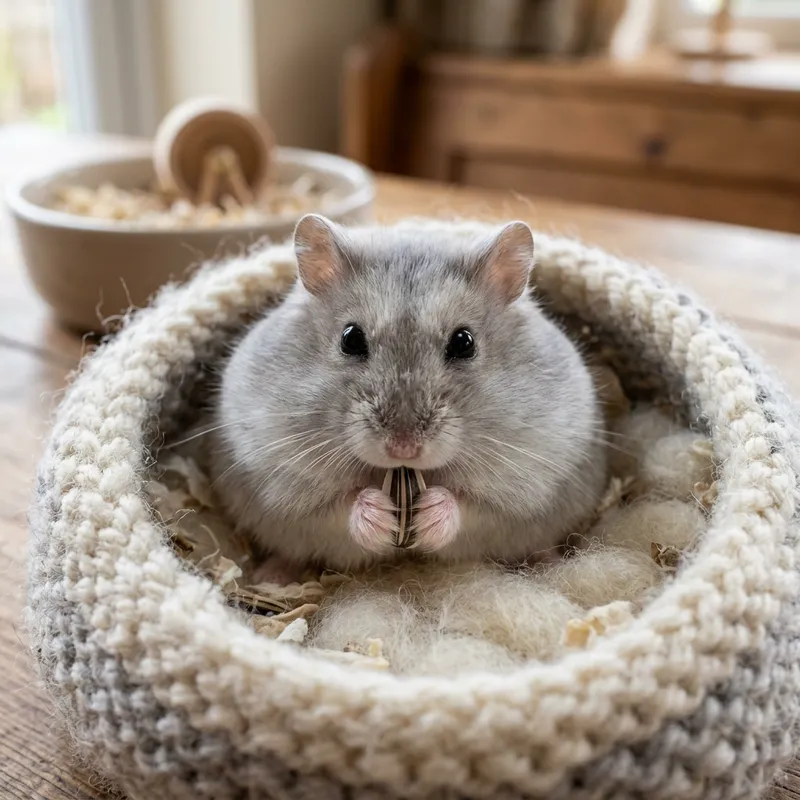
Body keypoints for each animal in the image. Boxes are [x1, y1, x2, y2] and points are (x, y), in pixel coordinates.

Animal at [208, 215, 607, 575]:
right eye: (350, 338)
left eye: (464, 342)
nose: (403, 449)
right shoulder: (283, 486)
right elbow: (339, 507)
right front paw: (379, 514)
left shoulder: (522, 489)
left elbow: (469, 506)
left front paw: (428, 513)